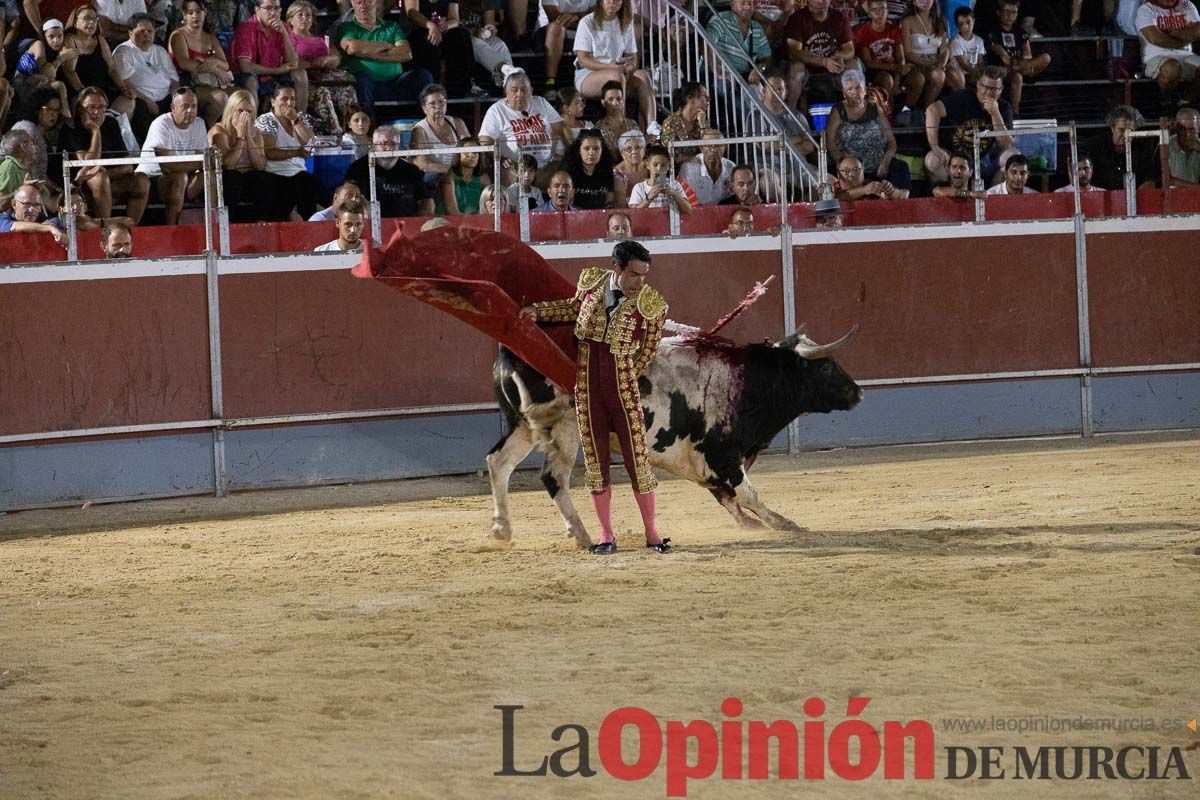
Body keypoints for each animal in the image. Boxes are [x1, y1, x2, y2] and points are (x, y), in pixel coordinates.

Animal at [487, 326, 864, 551]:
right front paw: (783, 523)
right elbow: (746, 493)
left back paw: (503, 528)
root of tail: (511, 351)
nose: (858, 392)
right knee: (553, 477)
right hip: (565, 427)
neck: (746, 379)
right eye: (826, 366)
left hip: (522, 425)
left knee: (498, 462)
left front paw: (751, 523)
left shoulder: (705, 462)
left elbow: (728, 497)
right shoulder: (718, 454)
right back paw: (580, 534)